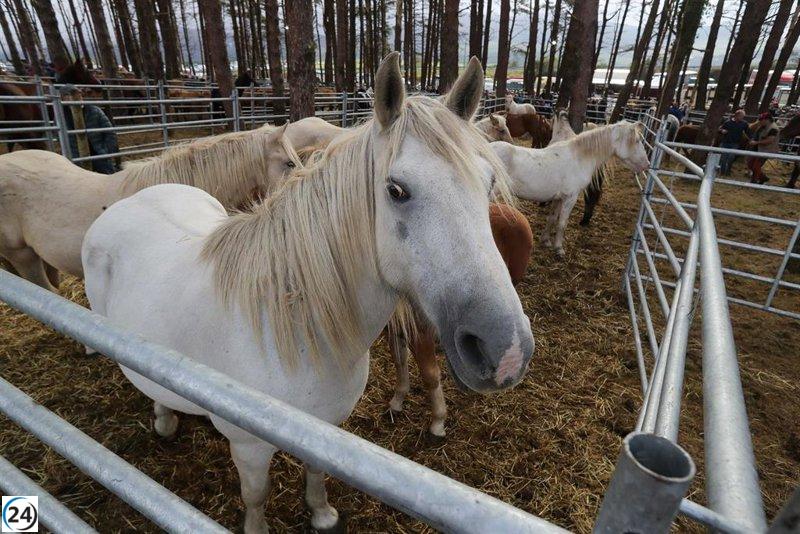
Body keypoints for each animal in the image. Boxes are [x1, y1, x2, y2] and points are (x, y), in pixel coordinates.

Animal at [387, 202, 533, 436]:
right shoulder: (393, 329)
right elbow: (399, 359)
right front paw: (397, 401)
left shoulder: (420, 332)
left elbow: (430, 375)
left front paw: (438, 423)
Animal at [492, 121, 650, 257]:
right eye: (637, 141)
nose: (647, 164)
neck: (579, 158)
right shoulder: (570, 198)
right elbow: (562, 223)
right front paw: (559, 249)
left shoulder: (558, 198)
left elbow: (552, 218)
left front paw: (546, 241)